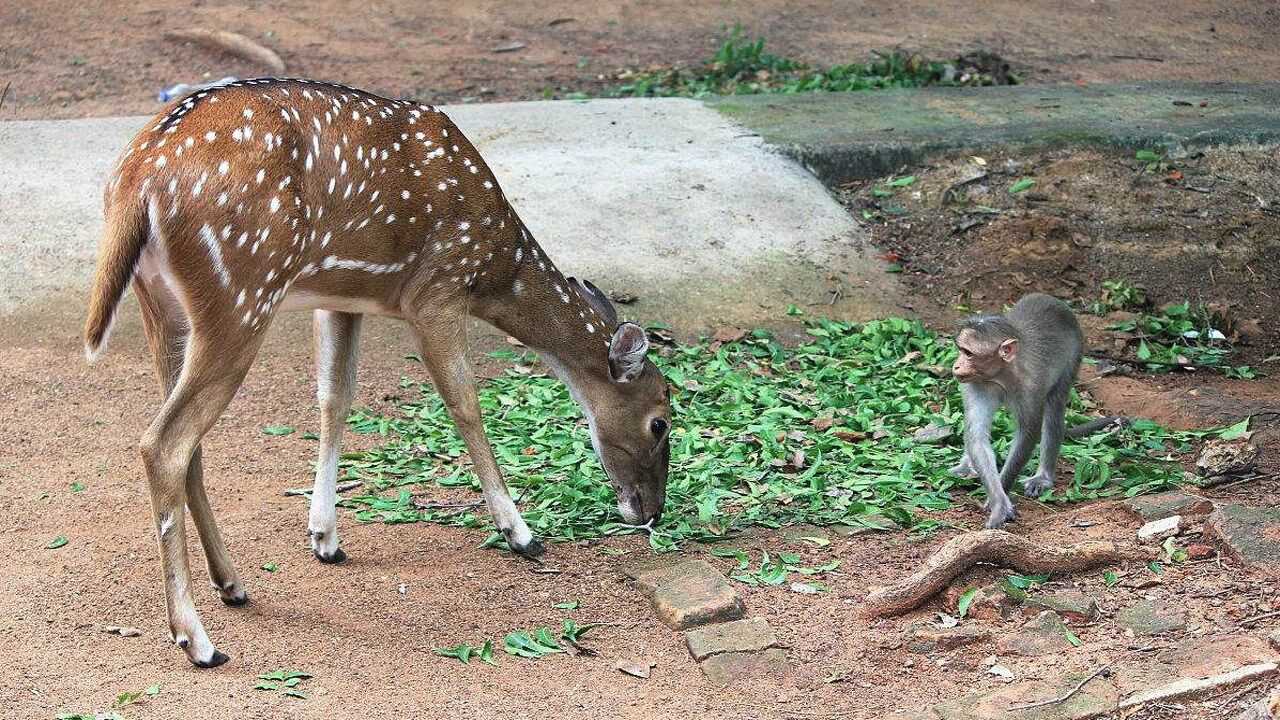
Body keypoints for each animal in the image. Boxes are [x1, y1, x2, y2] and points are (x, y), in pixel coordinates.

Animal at [85, 75, 675, 666]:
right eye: (661, 420)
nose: (651, 509)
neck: (496, 267)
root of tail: (134, 186)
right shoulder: (436, 291)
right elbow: (464, 403)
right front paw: (520, 533)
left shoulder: (342, 297)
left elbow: (334, 397)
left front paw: (324, 538)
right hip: (242, 295)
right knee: (164, 442)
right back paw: (197, 639)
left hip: (164, 309)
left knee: (189, 445)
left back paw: (231, 583)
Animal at [952, 292, 1080, 527]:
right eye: (960, 351)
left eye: (968, 353)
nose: (956, 365)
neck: (1000, 375)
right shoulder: (974, 384)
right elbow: (978, 438)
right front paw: (999, 501)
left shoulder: (1031, 387)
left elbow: (1027, 435)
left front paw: (1000, 495)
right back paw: (966, 465)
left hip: (1075, 352)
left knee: (1055, 408)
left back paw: (1043, 477)